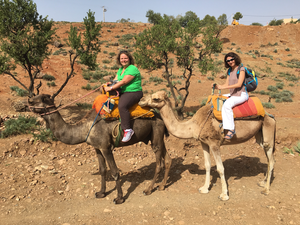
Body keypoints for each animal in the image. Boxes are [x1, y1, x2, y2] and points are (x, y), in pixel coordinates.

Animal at [28, 94, 173, 205]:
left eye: (40, 99)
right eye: (35, 96)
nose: (28, 101)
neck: (85, 128)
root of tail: (159, 115)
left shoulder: (105, 147)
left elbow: (114, 171)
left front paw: (119, 198)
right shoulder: (97, 148)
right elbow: (102, 170)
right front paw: (101, 193)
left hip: (156, 132)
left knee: (159, 163)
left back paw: (148, 190)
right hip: (157, 136)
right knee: (167, 158)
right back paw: (162, 186)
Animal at [139, 90, 276, 201]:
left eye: (156, 98)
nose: (141, 100)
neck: (194, 124)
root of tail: (269, 114)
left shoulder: (215, 143)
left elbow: (220, 168)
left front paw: (224, 195)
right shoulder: (204, 142)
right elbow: (207, 165)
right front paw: (204, 188)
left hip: (268, 130)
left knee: (272, 159)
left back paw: (266, 190)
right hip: (260, 135)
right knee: (268, 158)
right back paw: (263, 182)